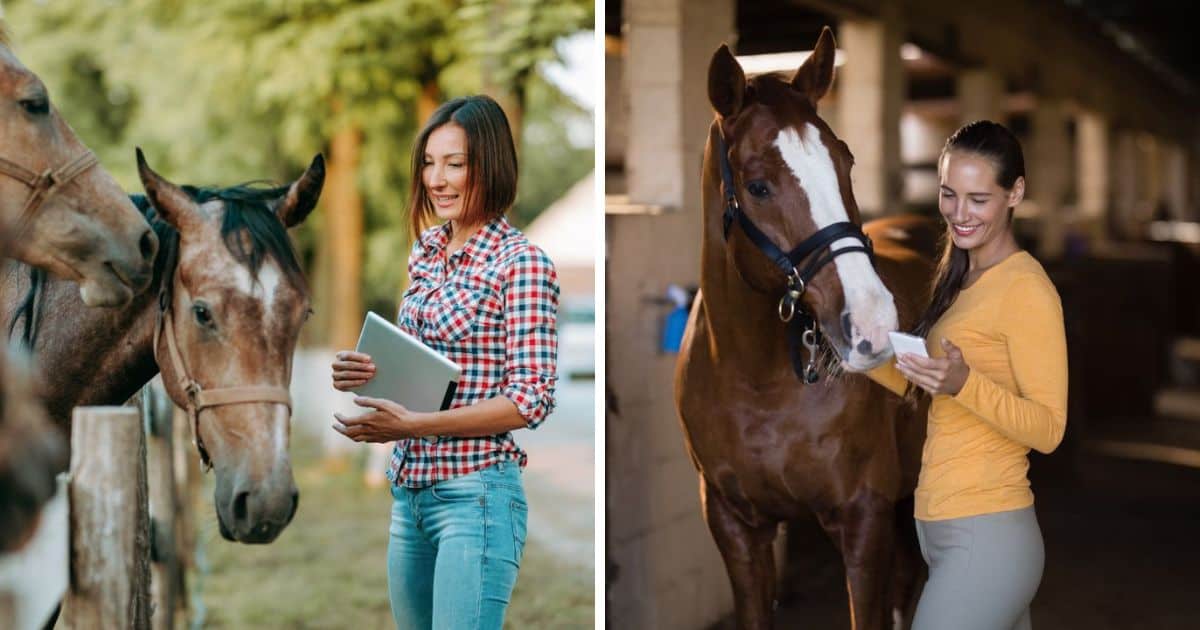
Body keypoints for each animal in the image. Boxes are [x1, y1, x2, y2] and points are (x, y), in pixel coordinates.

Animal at [676, 27, 936, 624]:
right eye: (757, 186)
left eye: (846, 161)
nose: (871, 322)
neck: (757, 380)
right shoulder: (736, 526)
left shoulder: (864, 518)